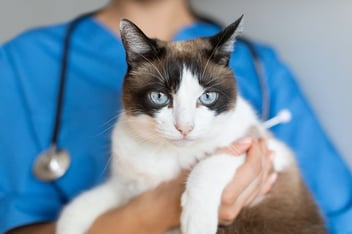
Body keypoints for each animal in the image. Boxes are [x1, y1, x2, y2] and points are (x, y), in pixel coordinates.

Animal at [56, 15, 326, 233]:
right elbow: (77, 208)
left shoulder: (265, 149)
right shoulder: (126, 188)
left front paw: (196, 222)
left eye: (207, 97)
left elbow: (207, 164)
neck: (171, 153)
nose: (184, 128)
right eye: (159, 97)